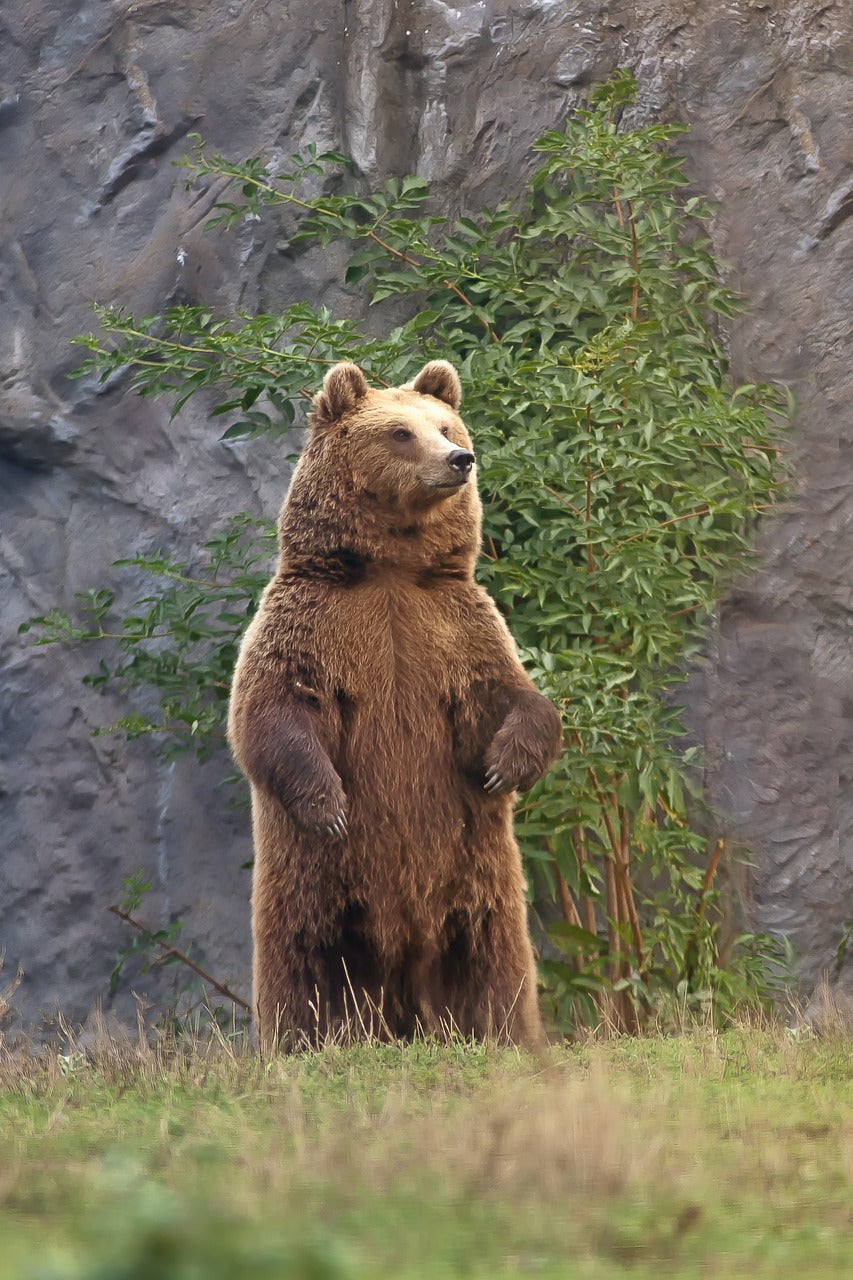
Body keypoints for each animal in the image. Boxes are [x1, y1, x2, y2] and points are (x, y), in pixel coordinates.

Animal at [225, 358, 560, 1049]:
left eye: (446, 425)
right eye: (400, 432)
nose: (460, 459)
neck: (390, 570)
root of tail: (403, 997)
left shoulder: (456, 627)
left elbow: (512, 694)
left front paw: (505, 764)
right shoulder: (310, 625)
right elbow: (271, 714)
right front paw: (328, 805)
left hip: (476, 875)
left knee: (495, 956)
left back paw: (501, 1031)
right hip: (316, 885)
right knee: (304, 960)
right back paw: (304, 1040)